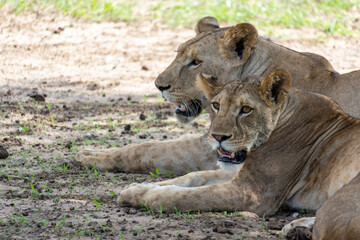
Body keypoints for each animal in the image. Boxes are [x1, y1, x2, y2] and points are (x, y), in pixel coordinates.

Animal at [74, 15, 358, 176]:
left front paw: (92, 155)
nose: (158, 85)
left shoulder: (217, 145)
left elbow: (146, 149)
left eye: (196, 62)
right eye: (177, 54)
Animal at [117, 69, 360, 240]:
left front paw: (143, 196)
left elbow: (189, 196)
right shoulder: (239, 173)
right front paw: (136, 188)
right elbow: (191, 178)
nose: (217, 136)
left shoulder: (252, 194)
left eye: (246, 109)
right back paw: (295, 228)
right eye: (216, 105)